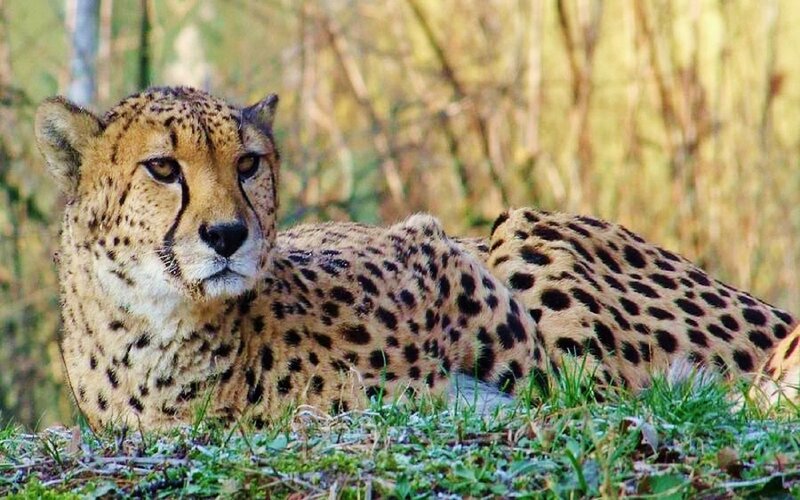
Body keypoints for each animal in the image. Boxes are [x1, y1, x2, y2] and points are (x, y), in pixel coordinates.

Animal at [34, 86, 797, 430]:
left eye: (248, 164)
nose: (227, 235)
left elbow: (552, 381)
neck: (161, 331)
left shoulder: (439, 252)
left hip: (523, 226)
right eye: (162, 168)